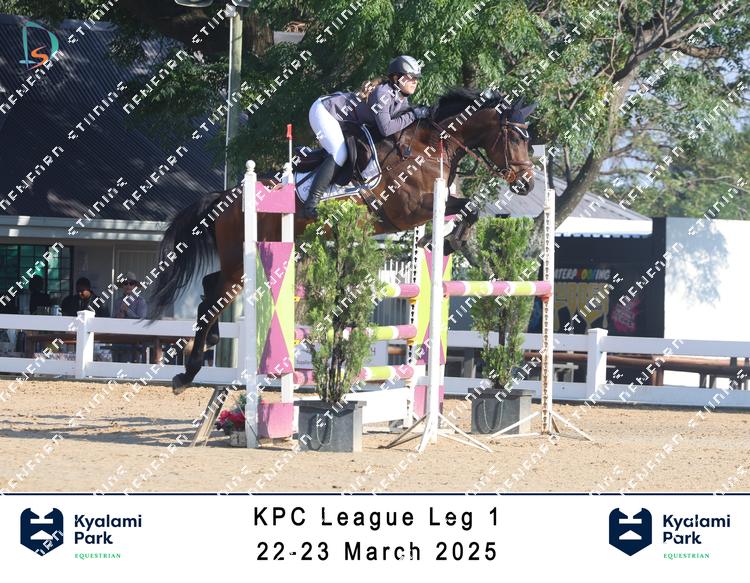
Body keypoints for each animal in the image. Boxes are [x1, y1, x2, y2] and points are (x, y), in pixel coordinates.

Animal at [147, 88, 536, 392]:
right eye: (516, 138)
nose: (527, 184)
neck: (429, 148)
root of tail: (227, 197)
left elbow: (469, 209)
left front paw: (460, 243)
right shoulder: (409, 210)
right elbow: (469, 206)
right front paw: (456, 240)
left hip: (241, 261)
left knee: (210, 291)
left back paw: (204, 349)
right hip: (238, 259)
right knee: (213, 297)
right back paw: (188, 372)